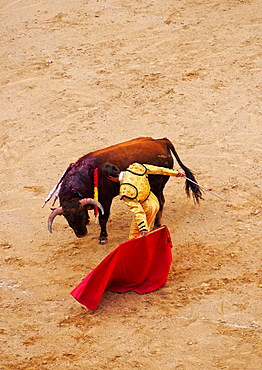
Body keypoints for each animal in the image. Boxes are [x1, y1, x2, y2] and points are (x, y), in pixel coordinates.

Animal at [45, 137, 202, 244]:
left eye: (81, 215)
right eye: (67, 218)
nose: (81, 234)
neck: (85, 175)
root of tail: (161, 141)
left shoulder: (105, 200)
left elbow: (103, 218)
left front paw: (103, 237)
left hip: (157, 185)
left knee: (161, 201)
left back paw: (157, 225)